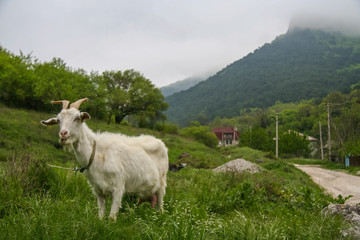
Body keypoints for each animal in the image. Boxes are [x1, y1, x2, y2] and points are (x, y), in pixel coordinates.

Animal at [41, 98, 169, 221]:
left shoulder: (118, 187)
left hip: (162, 184)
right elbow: (101, 215)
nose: (63, 134)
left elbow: (112, 217)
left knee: (161, 206)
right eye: (58, 120)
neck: (95, 154)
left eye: (77, 118)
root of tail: (161, 143)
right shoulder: (98, 190)